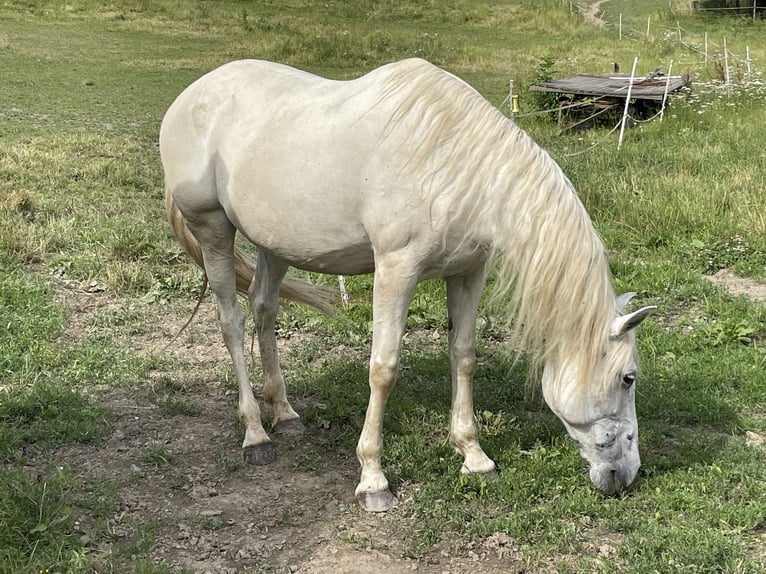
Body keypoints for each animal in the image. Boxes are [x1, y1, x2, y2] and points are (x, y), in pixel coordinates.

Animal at [160, 58, 656, 512]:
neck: (457, 167)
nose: (627, 475)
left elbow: (464, 356)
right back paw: (256, 434)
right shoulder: (396, 270)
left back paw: (283, 414)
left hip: (274, 244)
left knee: (264, 309)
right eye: (628, 378)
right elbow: (384, 368)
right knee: (232, 321)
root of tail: (188, 97)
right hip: (213, 231)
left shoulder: (468, 272)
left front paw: (474, 456)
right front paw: (373, 479)